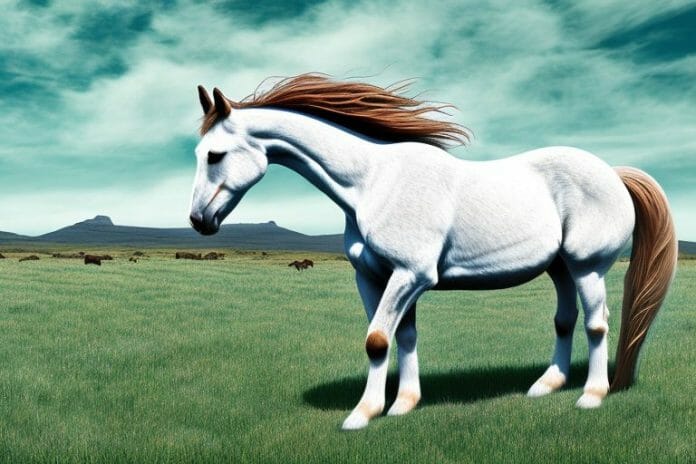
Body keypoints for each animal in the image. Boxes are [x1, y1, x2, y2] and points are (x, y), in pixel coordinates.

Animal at [188, 74, 677, 430]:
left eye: (215, 154)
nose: (198, 220)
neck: (373, 183)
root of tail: (613, 173)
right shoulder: (374, 277)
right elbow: (400, 337)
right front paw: (403, 404)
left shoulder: (411, 275)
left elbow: (377, 339)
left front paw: (361, 415)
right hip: (558, 269)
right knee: (564, 320)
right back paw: (546, 386)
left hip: (587, 268)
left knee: (597, 324)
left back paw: (591, 395)